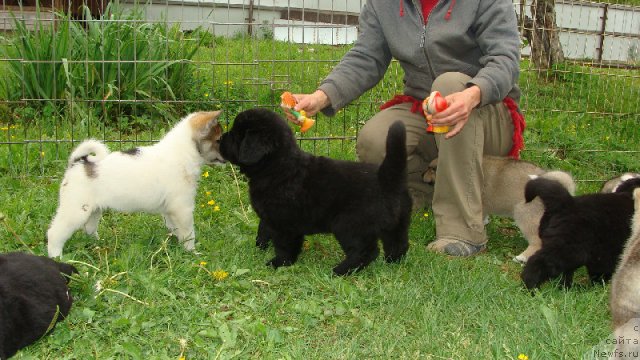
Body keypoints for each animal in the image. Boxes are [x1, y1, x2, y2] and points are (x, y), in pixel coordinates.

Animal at [219, 108, 410, 274]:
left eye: (236, 135)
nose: (219, 139)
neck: (277, 167)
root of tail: (387, 179)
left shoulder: (284, 222)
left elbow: (283, 245)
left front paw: (279, 263)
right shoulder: (269, 216)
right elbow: (263, 231)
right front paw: (259, 249)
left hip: (349, 225)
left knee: (366, 252)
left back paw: (339, 271)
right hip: (398, 224)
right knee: (398, 244)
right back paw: (392, 262)